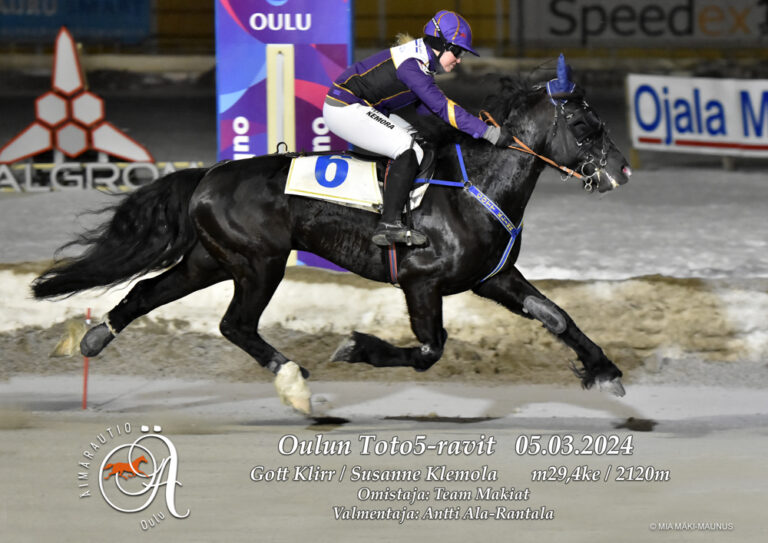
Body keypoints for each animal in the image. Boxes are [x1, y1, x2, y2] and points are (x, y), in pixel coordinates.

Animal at [31, 63, 632, 415]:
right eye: (586, 126)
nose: (622, 171)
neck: (475, 185)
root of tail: (207, 175)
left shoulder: (494, 276)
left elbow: (557, 317)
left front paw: (605, 371)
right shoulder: (421, 282)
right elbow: (429, 350)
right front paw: (355, 346)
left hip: (211, 260)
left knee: (144, 294)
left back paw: (93, 338)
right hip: (259, 262)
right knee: (235, 324)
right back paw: (295, 383)